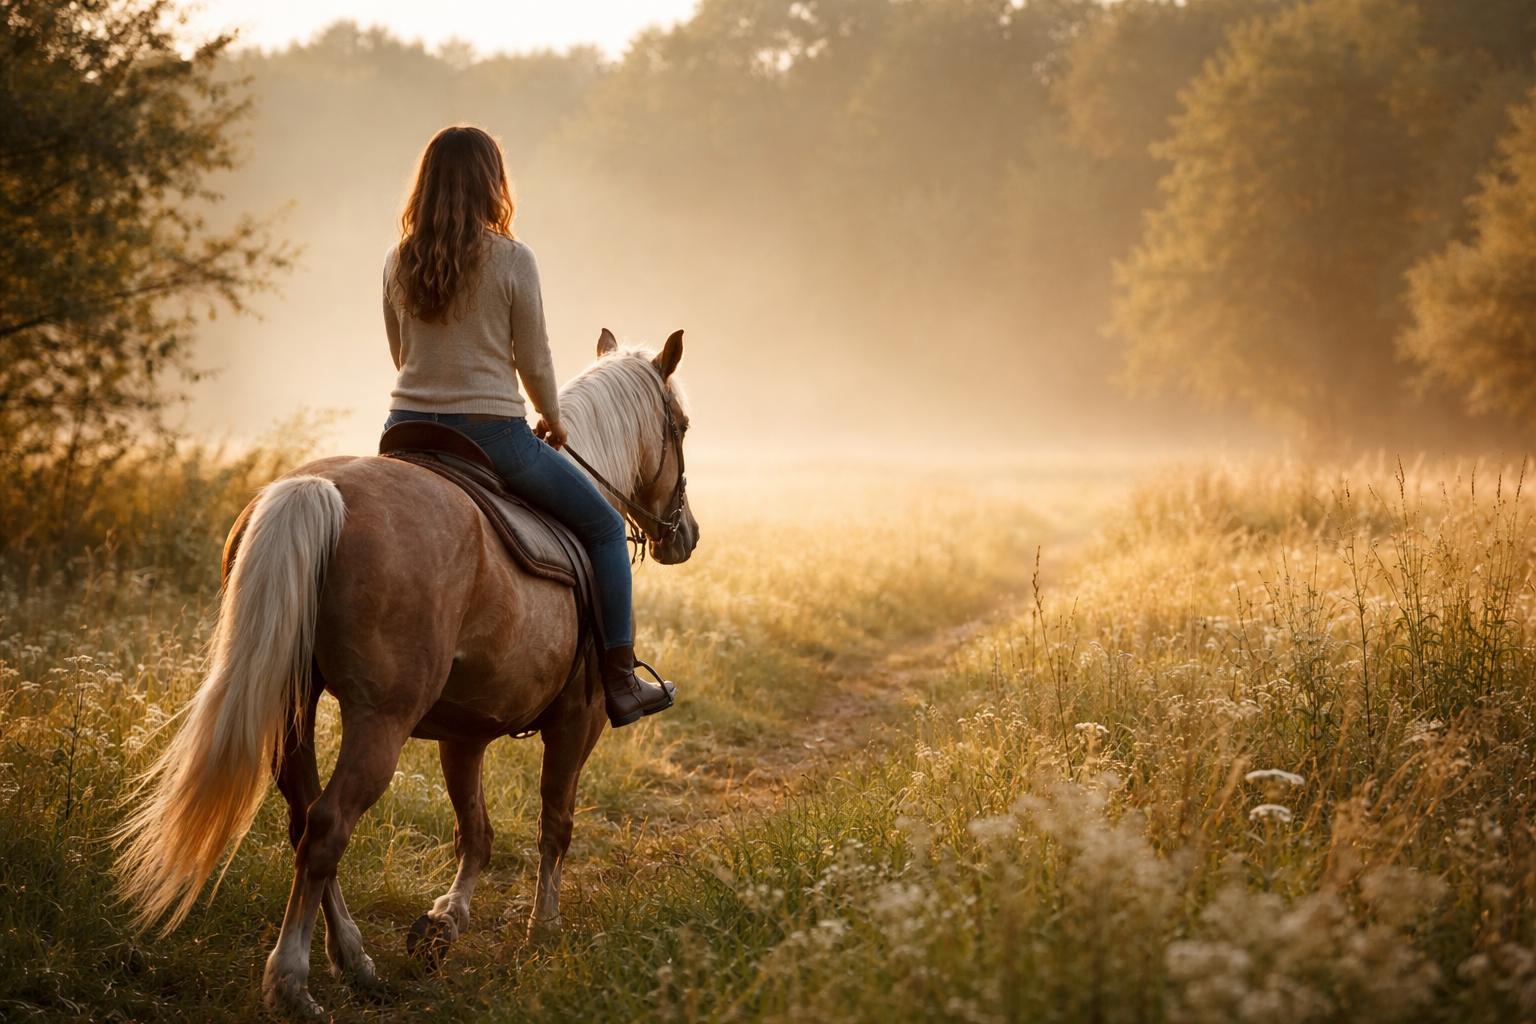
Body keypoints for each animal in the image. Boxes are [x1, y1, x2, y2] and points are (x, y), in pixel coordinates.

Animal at [113, 331, 699, 1017]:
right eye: (682, 426)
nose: (684, 535)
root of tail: (318, 489)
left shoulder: (465, 733)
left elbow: (476, 832)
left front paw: (445, 922)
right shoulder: (579, 721)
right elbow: (555, 824)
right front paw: (543, 929)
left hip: (295, 707)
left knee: (303, 820)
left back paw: (352, 956)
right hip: (381, 721)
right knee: (328, 826)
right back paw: (290, 981)